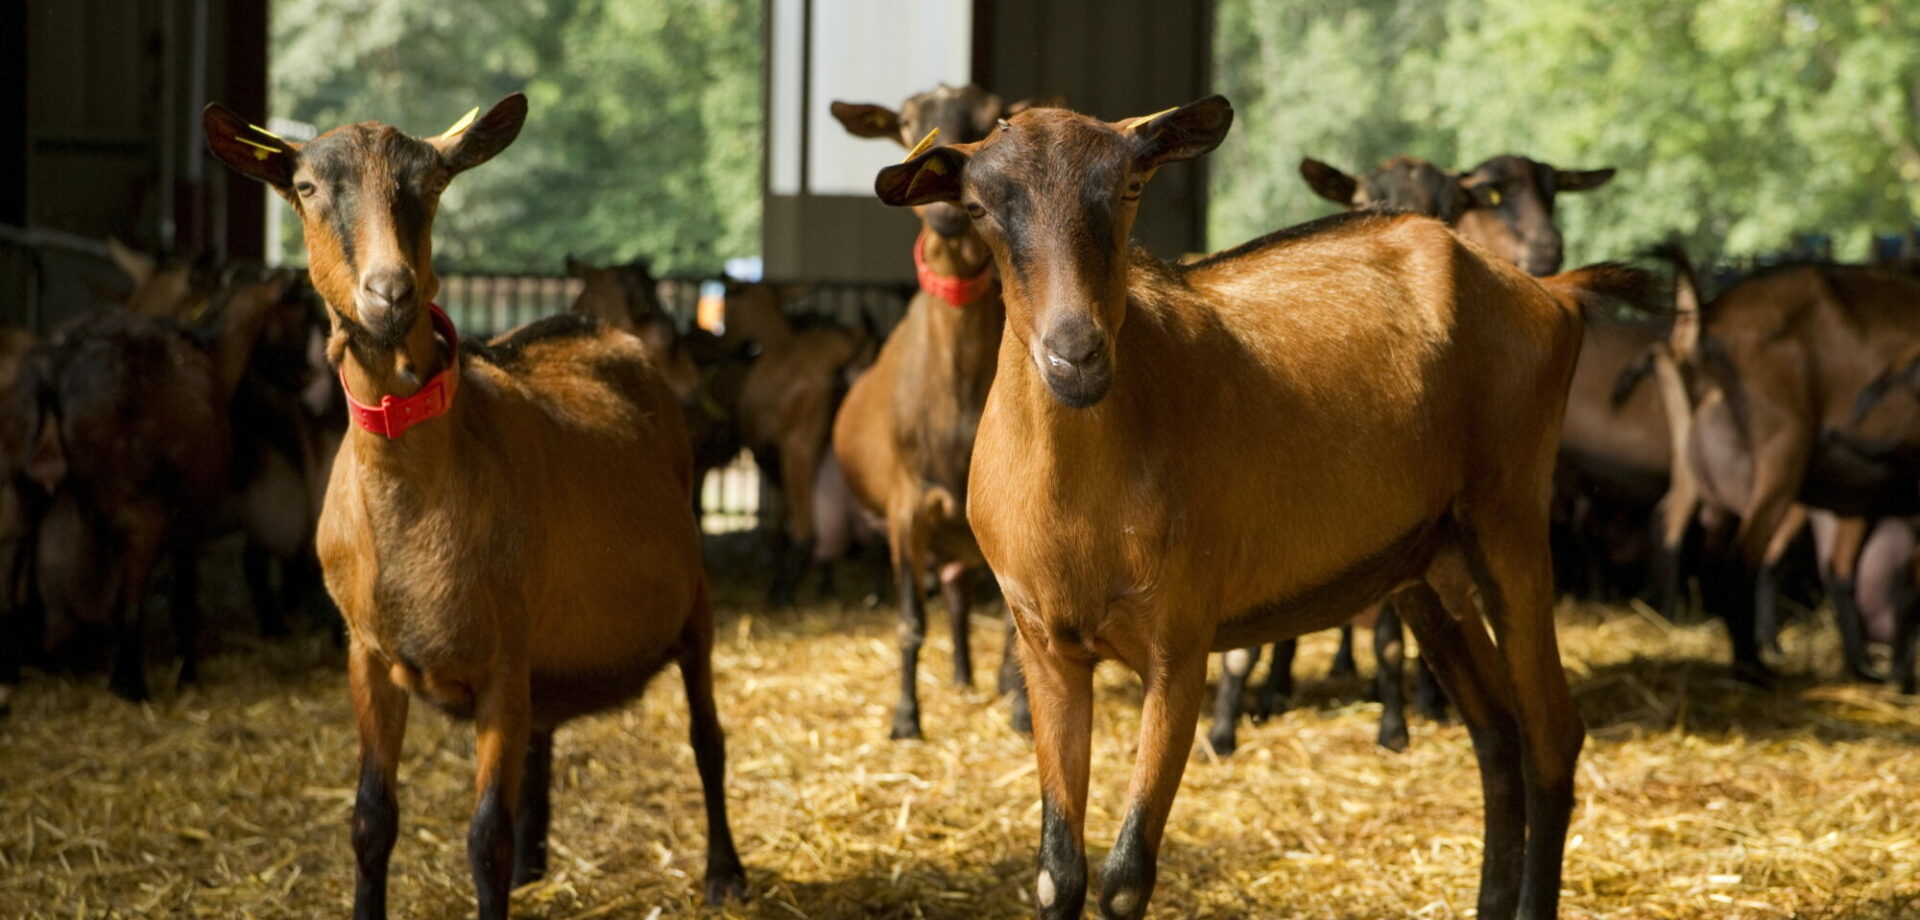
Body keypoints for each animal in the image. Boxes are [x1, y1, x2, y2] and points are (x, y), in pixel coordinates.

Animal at [206, 96, 744, 918]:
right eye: (305, 187)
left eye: (432, 182)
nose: (390, 292)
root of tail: (591, 326)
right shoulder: (369, 656)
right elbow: (371, 819)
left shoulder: (501, 665)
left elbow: (484, 835)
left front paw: (502, 863)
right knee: (546, 739)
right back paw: (535, 864)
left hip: (692, 609)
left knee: (706, 736)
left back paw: (723, 871)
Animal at [821, 82, 1036, 737]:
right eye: (908, 125)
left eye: (988, 124)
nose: (946, 210)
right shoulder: (906, 503)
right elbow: (911, 621)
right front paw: (905, 719)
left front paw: (1022, 712)